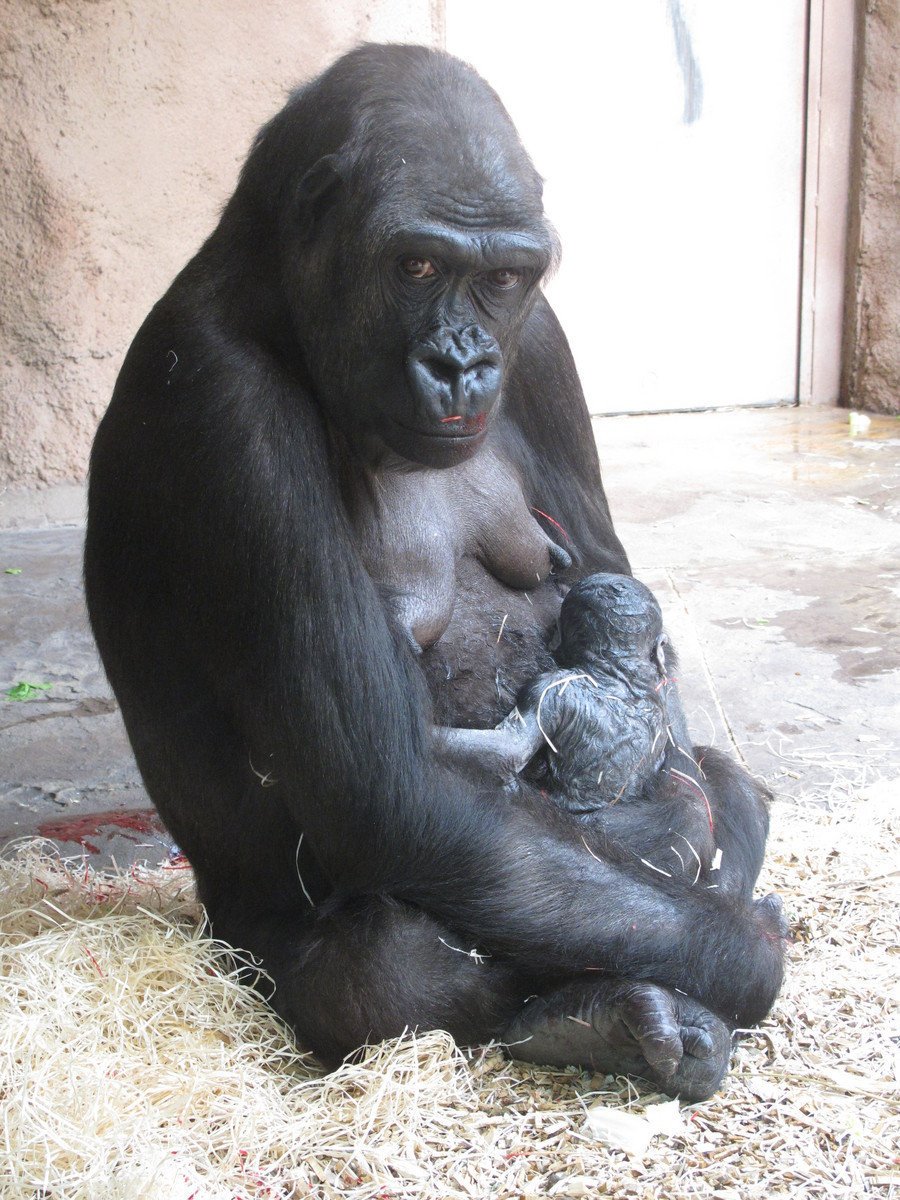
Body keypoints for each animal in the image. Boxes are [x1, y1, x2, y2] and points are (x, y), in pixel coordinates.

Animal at [86, 44, 787, 1099]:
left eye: (501, 276)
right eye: (416, 265)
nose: (463, 363)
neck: (276, 302)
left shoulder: (543, 344)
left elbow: (637, 637)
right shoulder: (224, 407)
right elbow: (387, 792)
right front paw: (743, 952)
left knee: (716, 784)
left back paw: (616, 1012)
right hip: (236, 943)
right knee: (383, 964)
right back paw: (610, 1013)